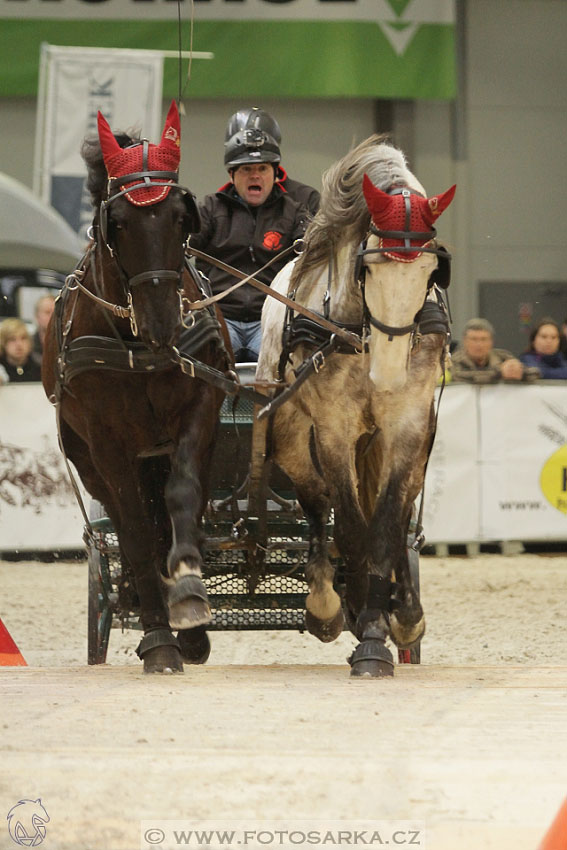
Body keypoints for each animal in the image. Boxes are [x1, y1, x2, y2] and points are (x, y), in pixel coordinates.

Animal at [42, 101, 232, 668]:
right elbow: (135, 530)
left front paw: (188, 589)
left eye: (180, 218)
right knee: (130, 530)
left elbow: (182, 495)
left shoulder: (200, 410)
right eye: (119, 223)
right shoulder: (107, 443)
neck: (138, 344)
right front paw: (160, 638)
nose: (163, 321)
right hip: (88, 461)